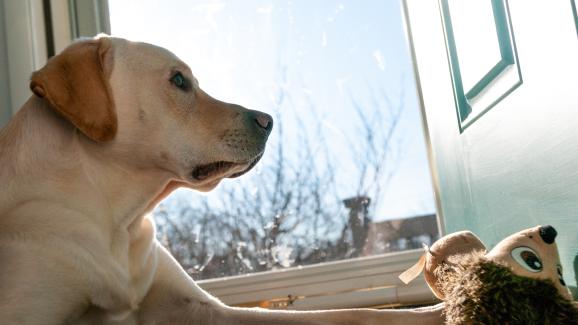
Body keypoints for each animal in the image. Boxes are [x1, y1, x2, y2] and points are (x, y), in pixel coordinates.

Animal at [0, 36, 440, 324]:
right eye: (179, 81)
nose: (268, 121)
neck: (117, 219)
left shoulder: (206, 309)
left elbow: (354, 312)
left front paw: (434, 310)